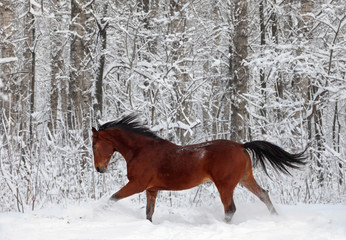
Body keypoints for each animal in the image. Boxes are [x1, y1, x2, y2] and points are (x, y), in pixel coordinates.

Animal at [91, 115, 306, 222]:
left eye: (94, 146)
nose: (99, 169)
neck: (141, 150)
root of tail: (241, 145)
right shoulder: (151, 189)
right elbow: (148, 214)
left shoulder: (137, 184)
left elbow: (112, 198)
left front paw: (95, 215)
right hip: (245, 179)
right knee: (263, 195)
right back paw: (277, 218)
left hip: (225, 185)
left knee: (230, 209)